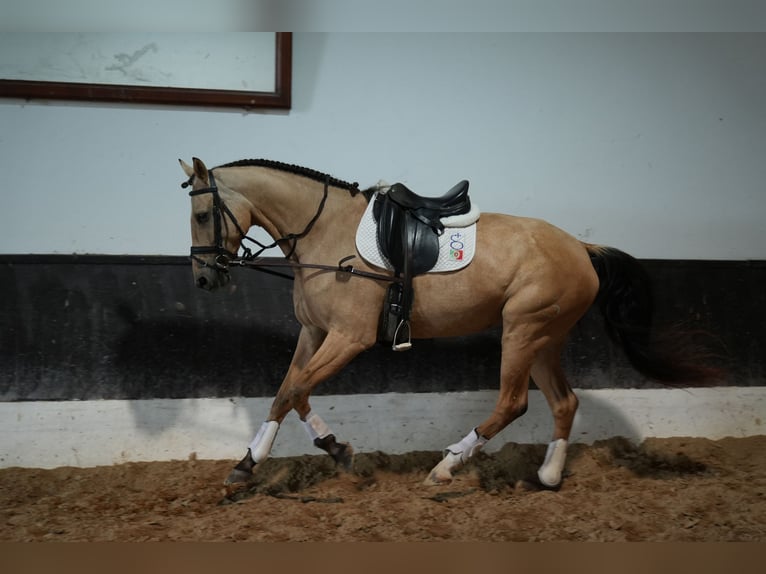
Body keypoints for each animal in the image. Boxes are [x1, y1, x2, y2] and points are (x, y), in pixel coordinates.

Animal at [178, 159, 720, 496]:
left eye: (202, 214)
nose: (204, 278)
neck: (325, 233)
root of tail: (582, 249)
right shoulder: (313, 334)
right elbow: (287, 391)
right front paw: (253, 463)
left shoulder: (349, 338)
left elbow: (297, 391)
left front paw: (333, 452)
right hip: (545, 337)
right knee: (564, 402)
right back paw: (547, 476)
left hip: (522, 330)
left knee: (513, 402)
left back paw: (446, 467)